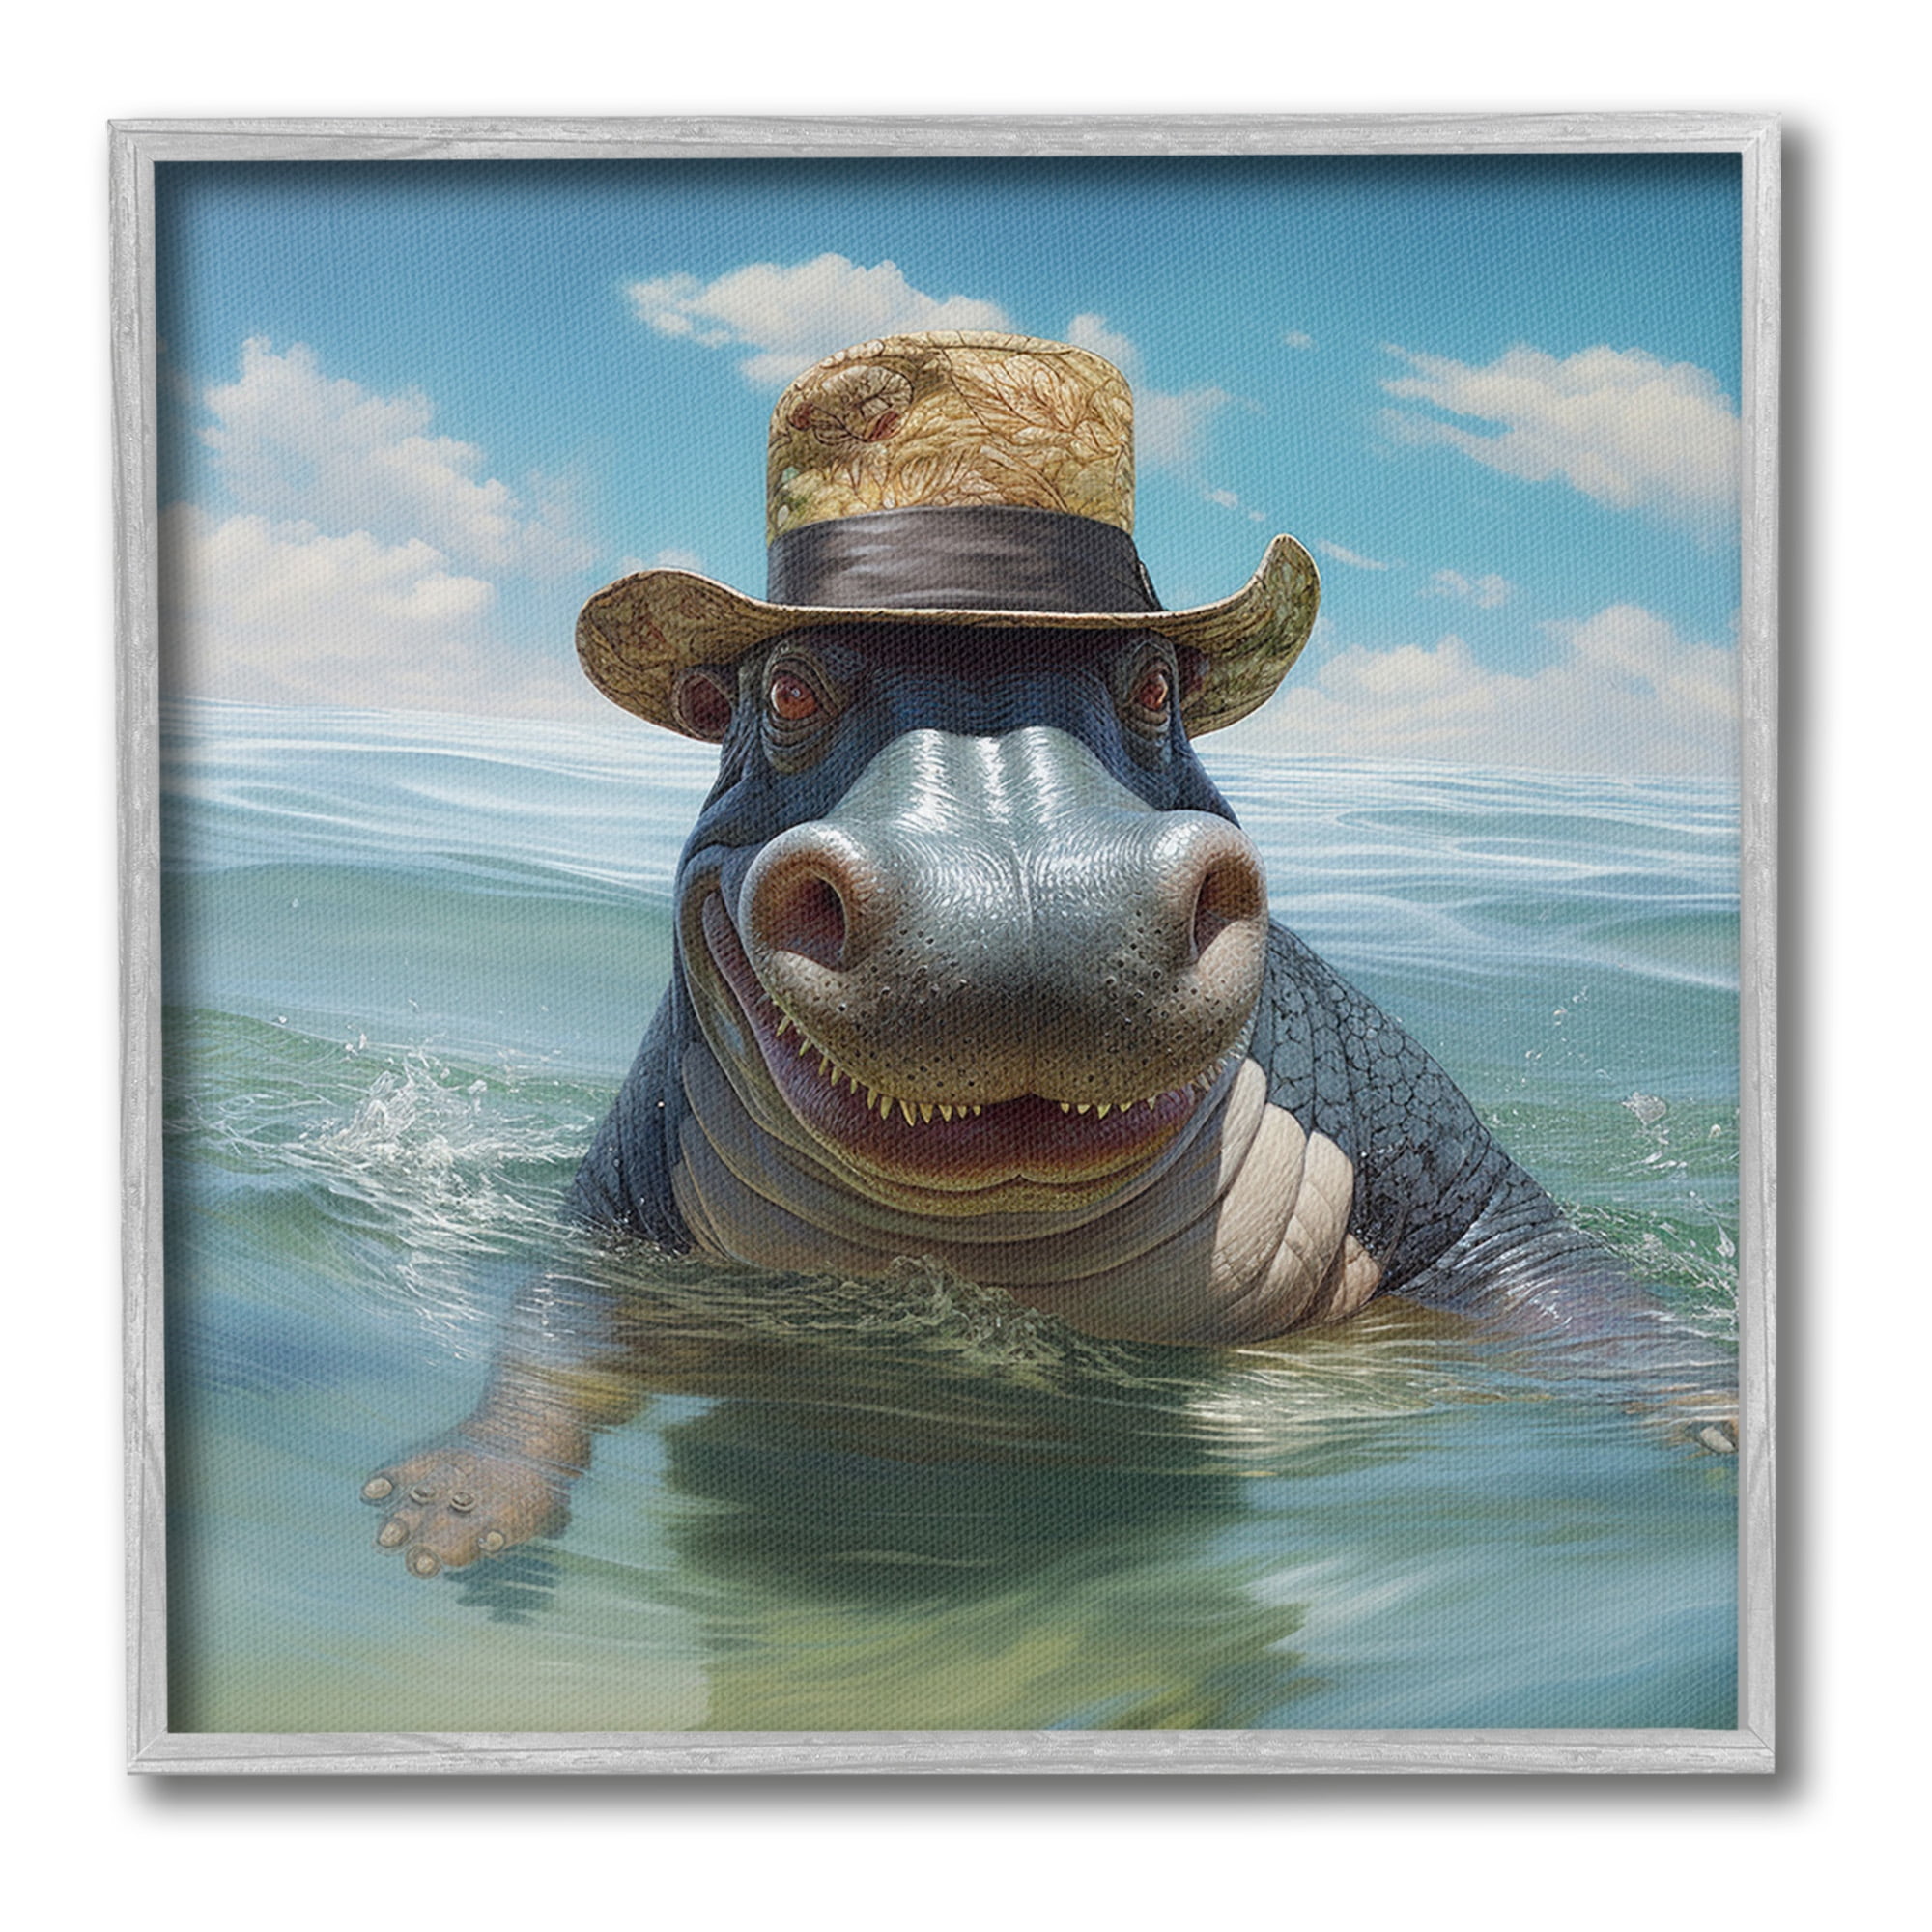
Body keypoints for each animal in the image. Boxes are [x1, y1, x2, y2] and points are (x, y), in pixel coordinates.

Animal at [364, 332, 1728, 1577]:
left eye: (1156, 684)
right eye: (783, 690)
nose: (1024, 896)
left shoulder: (1460, 1187)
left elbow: (1582, 1296)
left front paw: (1716, 1417)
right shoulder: (614, 1222)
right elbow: (556, 1332)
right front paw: (444, 1511)